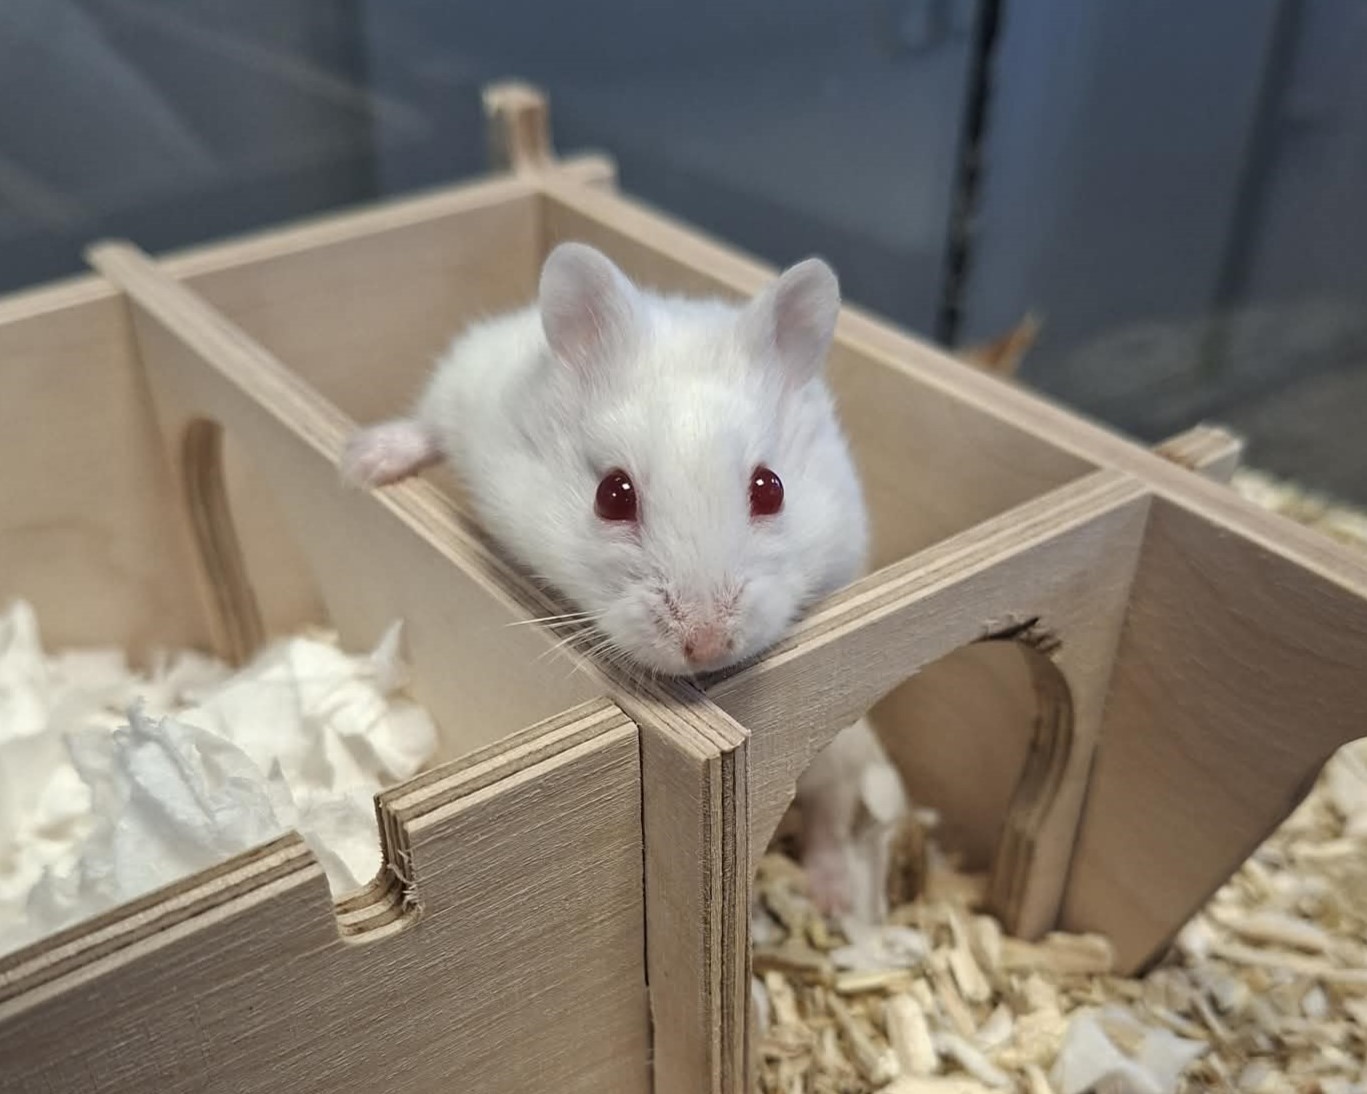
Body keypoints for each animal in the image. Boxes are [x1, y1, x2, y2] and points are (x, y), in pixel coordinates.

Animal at [341, 242, 906, 917]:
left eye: (771, 488)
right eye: (612, 494)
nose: (706, 646)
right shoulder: (464, 386)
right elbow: (428, 426)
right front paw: (361, 464)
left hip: (839, 747)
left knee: (830, 809)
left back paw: (834, 898)